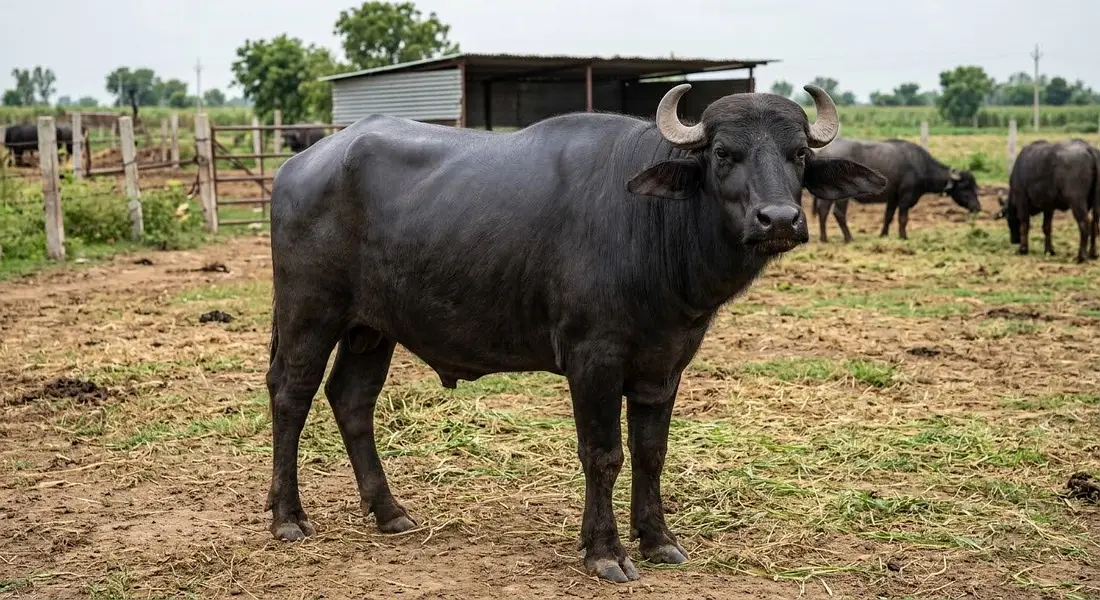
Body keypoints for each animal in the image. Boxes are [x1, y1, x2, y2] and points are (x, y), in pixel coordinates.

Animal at [263, 84, 886, 582]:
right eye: (723, 154)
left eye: (798, 153)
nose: (779, 219)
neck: (652, 229)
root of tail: (302, 165)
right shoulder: (593, 361)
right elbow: (603, 454)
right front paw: (605, 551)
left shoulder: (664, 364)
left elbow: (651, 451)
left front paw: (658, 540)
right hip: (309, 310)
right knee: (291, 394)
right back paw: (288, 517)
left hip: (371, 328)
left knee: (352, 399)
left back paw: (389, 512)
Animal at [808, 138, 982, 242]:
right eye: (966, 187)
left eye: (975, 186)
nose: (977, 207)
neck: (921, 166)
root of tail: (824, 152)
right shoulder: (906, 197)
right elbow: (903, 218)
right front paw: (903, 236)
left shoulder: (893, 197)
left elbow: (888, 216)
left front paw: (883, 234)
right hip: (841, 197)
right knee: (836, 213)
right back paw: (847, 238)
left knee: (823, 212)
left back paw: (824, 237)